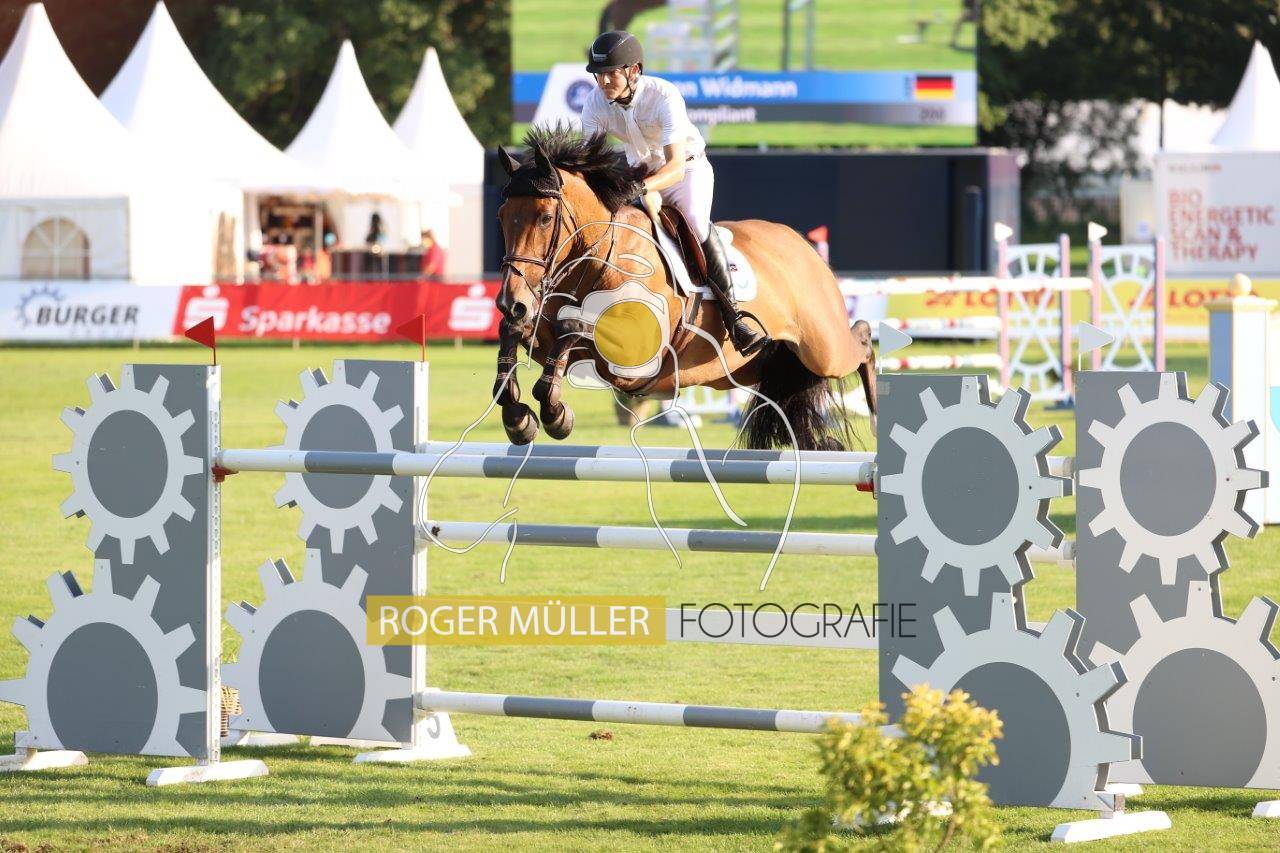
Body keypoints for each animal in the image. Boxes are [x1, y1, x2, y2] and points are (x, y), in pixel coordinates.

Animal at [493, 126, 876, 451]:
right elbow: (518, 332)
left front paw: (556, 416)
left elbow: (572, 327)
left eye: (545, 218)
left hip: (822, 349)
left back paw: (874, 411)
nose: (512, 302)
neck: (604, 259)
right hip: (746, 369)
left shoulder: (636, 354)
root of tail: (806, 248)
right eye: (501, 216)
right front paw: (518, 419)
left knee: (861, 342)